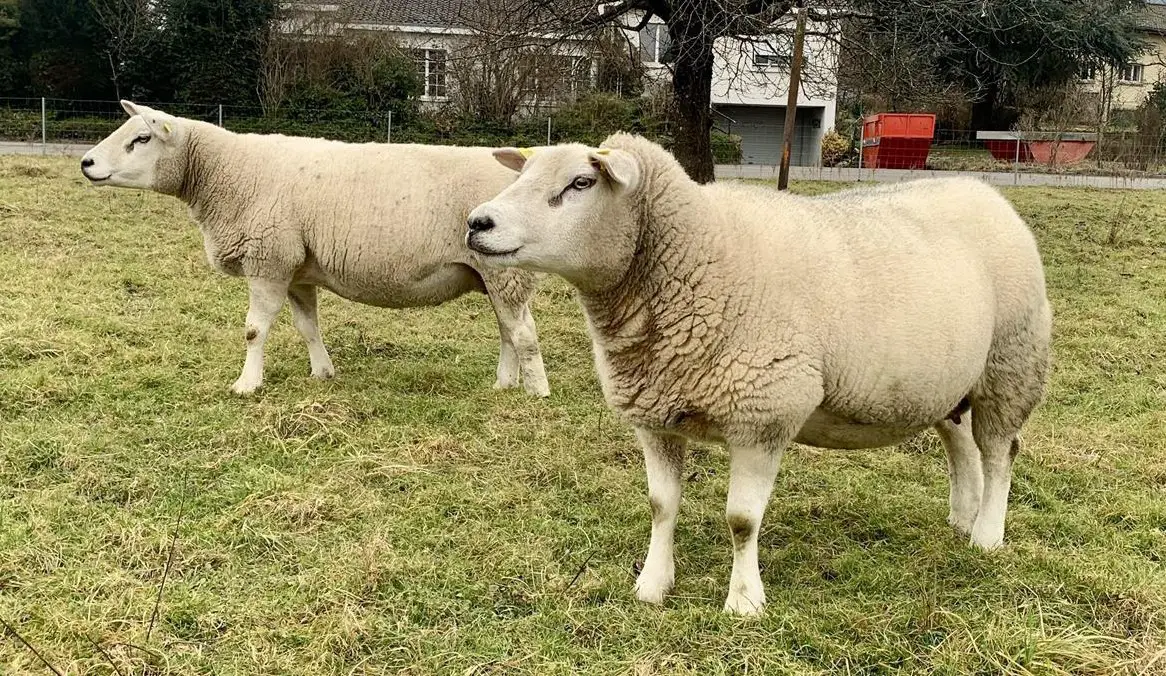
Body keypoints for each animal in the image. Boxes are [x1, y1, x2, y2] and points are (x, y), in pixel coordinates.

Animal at [80, 101, 549, 397]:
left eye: (142, 138)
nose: (86, 163)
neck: (225, 174)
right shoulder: (296, 269)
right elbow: (308, 327)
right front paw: (322, 373)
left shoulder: (268, 259)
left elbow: (254, 330)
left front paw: (246, 385)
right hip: (494, 272)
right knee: (508, 330)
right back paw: (504, 384)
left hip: (505, 272)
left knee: (524, 332)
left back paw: (536, 392)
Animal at [464, 133, 1052, 615]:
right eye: (522, 174)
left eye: (581, 183)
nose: (476, 223)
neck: (696, 255)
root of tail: (984, 192)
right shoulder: (654, 416)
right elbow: (660, 506)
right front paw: (653, 585)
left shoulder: (763, 415)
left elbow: (741, 520)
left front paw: (745, 601)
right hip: (949, 383)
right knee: (962, 446)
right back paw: (963, 517)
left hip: (1012, 364)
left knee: (1000, 453)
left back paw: (987, 535)